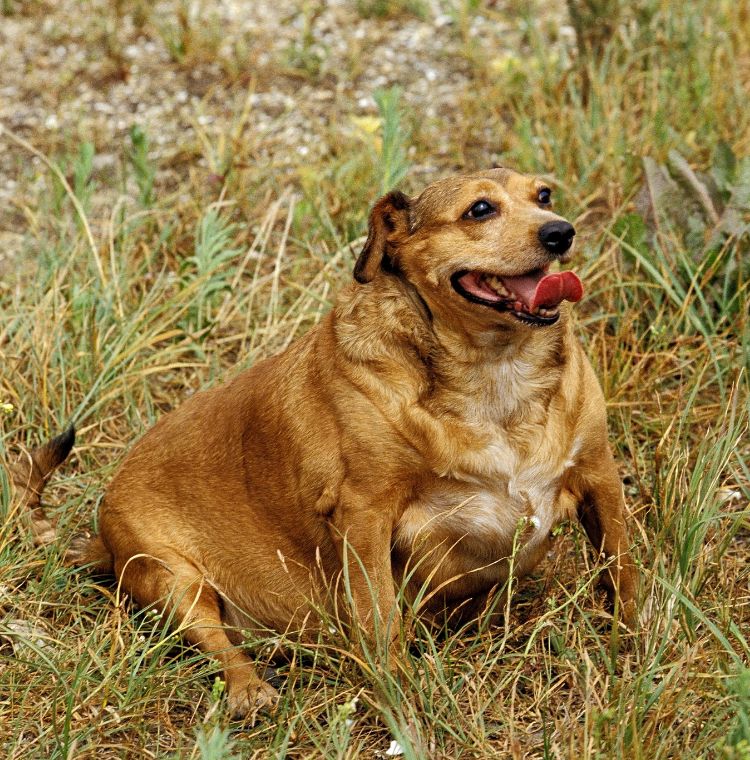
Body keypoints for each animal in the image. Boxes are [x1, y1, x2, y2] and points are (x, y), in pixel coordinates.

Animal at [13, 166, 636, 720]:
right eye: (480, 209)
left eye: (544, 194)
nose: (561, 232)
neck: (495, 372)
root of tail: (103, 540)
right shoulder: (364, 516)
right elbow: (380, 618)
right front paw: (401, 701)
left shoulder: (599, 478)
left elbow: (623, 574)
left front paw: (632, 647)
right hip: (173, 578)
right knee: (219, 644)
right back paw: (249, 689)